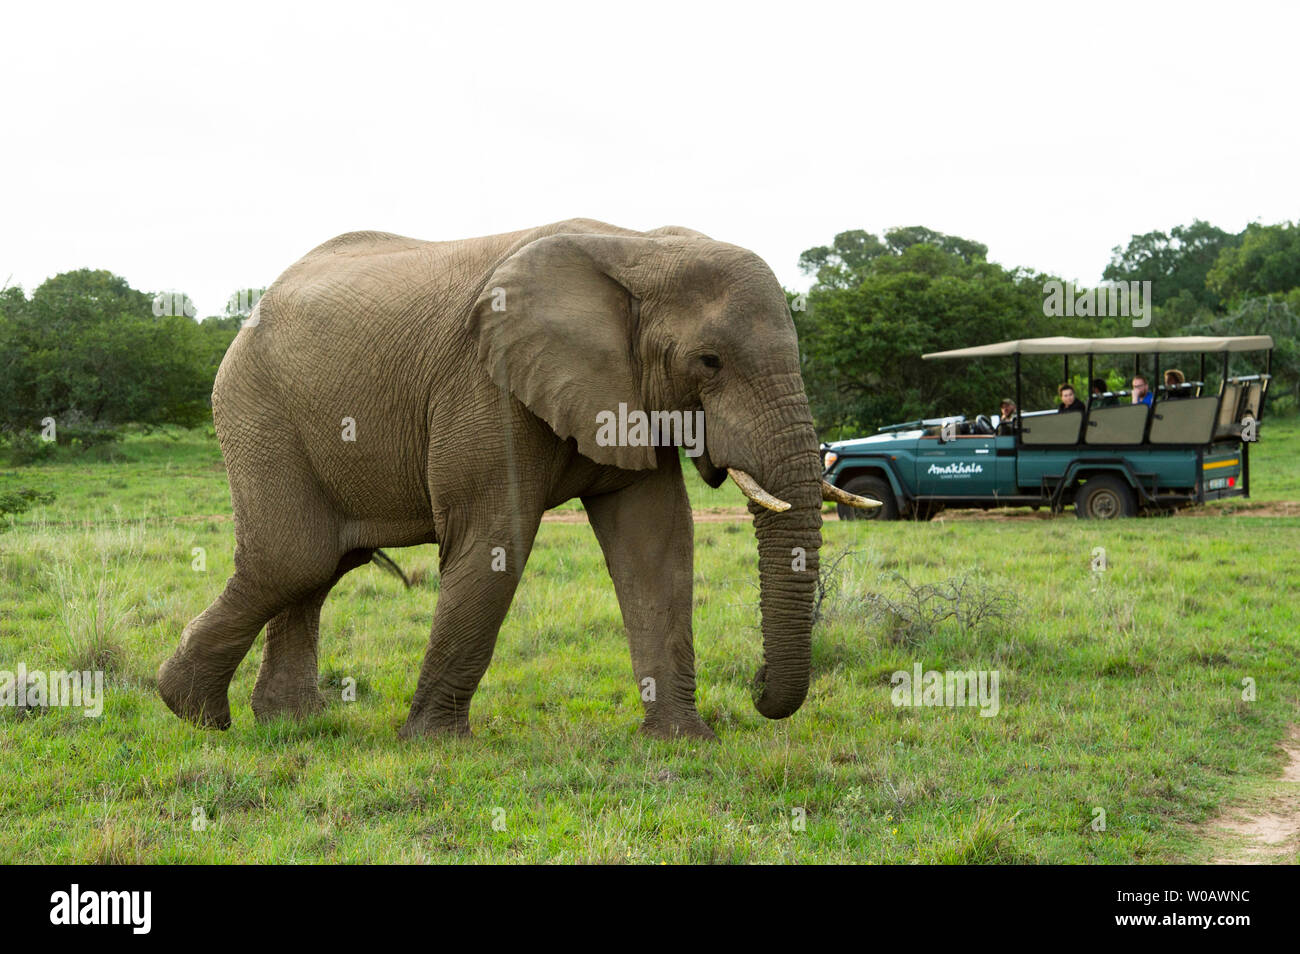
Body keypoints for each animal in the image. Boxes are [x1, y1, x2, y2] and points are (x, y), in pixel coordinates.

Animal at [157, 220, 878, 743]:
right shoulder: (484, 385)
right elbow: (495, 541)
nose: (756, 689)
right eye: (709, 361)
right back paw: (194, 712)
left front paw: (684, 741)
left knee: (325, 565)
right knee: (296, 558)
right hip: (255, 407)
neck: (640, 247)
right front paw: (434, 745)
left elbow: (656, 545)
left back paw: (290, 726)